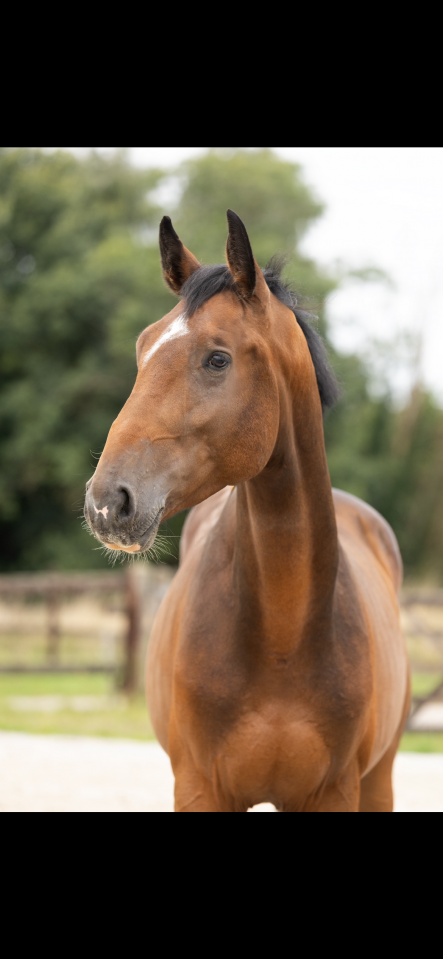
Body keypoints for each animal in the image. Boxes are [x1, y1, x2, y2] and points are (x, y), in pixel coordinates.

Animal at [84, 210, 410, 812]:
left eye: (218, 358)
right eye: (143, 349)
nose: (107, 502)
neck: (284, 636)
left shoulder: (336, 793)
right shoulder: (199, 788)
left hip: (380, 780)